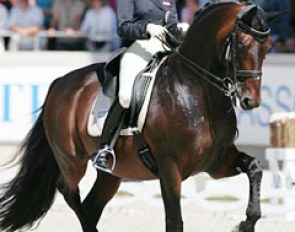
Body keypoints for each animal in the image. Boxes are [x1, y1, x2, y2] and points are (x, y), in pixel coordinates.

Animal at [0, 1, 280, 232]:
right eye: (242, 43)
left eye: (268, 47)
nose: (250, 100)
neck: (196, 91)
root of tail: (60, 82)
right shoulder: (169, 167)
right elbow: (174, 222)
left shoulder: (217, 163)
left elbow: (255, 167)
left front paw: (246, 223)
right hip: (71, 160)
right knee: (68, 191)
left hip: (111, 173)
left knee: (90, 205)